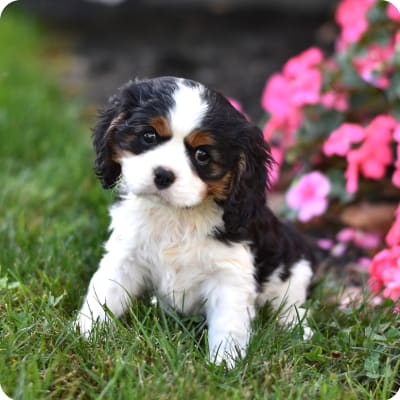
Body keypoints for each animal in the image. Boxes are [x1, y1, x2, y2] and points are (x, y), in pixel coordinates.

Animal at [76, 76, 316, 368]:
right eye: (148, 136)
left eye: (202, 155)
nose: (163, 175)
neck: (177, 213)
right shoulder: (125, 256)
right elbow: (104, 292)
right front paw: (85, 334)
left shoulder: (230, 276)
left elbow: (228, 325)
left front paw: (223, 365)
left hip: (295, 270)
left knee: (288, 304)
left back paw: (296, 327)